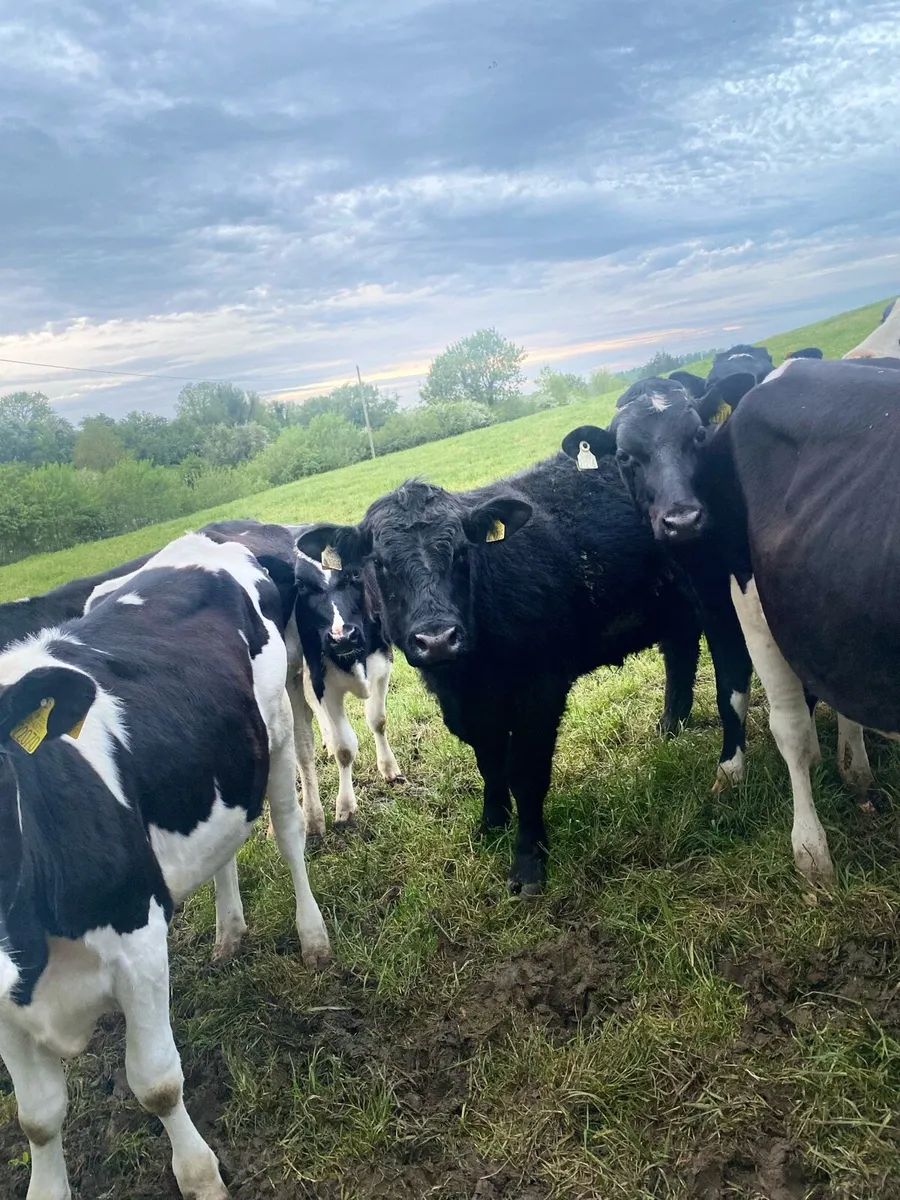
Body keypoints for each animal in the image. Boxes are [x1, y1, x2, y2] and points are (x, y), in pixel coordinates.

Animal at [0, 533, 331, 1200]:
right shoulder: (5, 1011)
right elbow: (38, 1120)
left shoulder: (139, 943)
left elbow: (156, 1083)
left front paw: (201, 1178)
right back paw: (229, 933)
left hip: (277, 732)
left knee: (287, 835)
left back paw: (312, 935)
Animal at [295, 458, 704, 895]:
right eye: (382, 564)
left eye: (461, 552)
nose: (437, 640)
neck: (472, 672)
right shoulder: (464, 705)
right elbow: (489, 762)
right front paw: (491, 824)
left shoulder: (540, 692)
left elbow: (524, 774)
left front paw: (528, 861)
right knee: (681, 652)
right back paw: (670, 728)